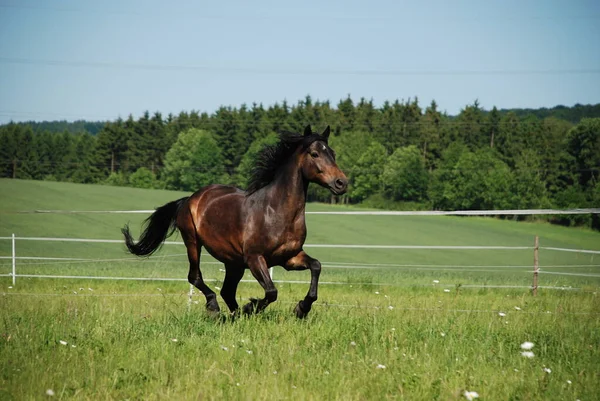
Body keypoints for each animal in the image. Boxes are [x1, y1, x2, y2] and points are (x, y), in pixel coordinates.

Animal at [122, 123, 346, 318]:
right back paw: (215, 308)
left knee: (227, 291)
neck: (276, 211)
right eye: (315, 154)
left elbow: (316, 266)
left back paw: (234, 315)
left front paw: (301, 309)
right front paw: (251, 307)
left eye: (333, 153)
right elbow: (271, 292)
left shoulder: (289, 257)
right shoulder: (255, 258)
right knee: (196, 278)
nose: (341, 183)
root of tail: (190, 199)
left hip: (233, 262)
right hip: (193, 243)